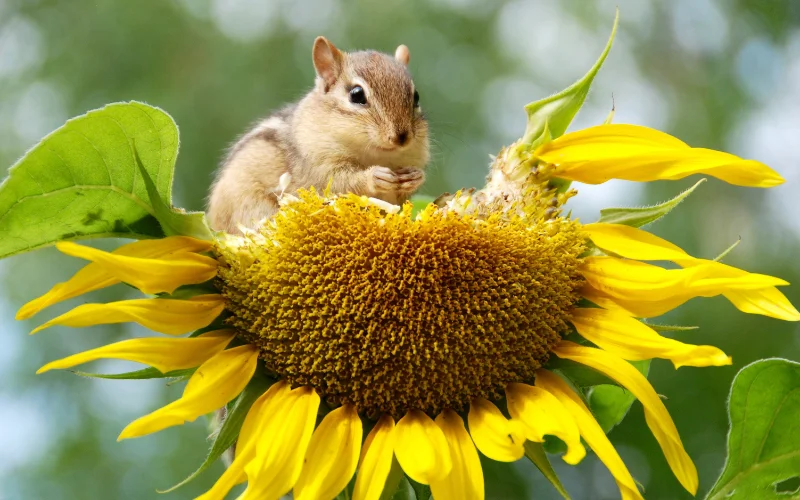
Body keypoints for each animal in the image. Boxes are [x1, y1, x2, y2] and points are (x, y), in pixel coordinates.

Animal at [207, 36, 430, 234]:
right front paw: (375, 176)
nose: (401, 137)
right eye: (357, 94)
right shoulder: (318, 165)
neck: (377, 154)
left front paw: (415, 177)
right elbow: (340, 182)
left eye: (416, 97)